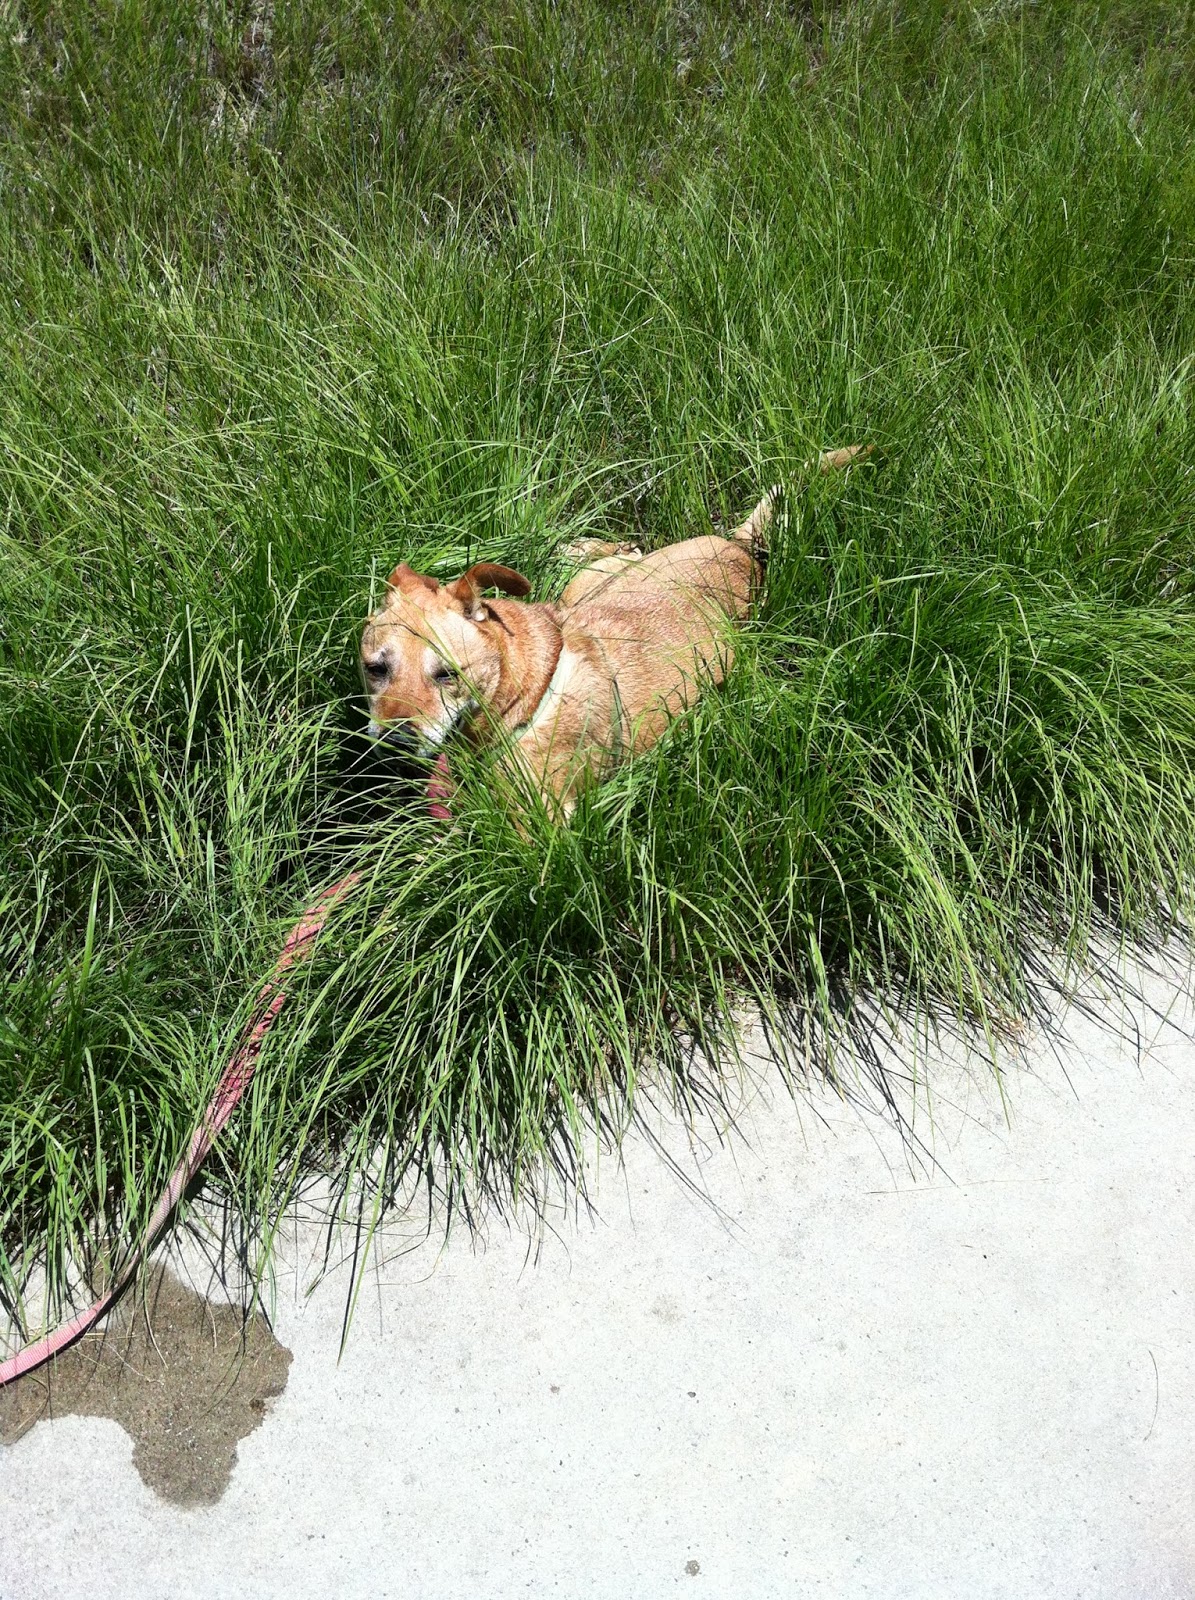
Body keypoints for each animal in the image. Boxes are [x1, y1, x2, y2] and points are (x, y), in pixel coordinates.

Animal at [361, 445, 870, 819]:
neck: (524, 688)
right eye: (374, 669)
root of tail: (739, 548)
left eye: (448, 674)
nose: (392, 747)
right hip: (591, 585)